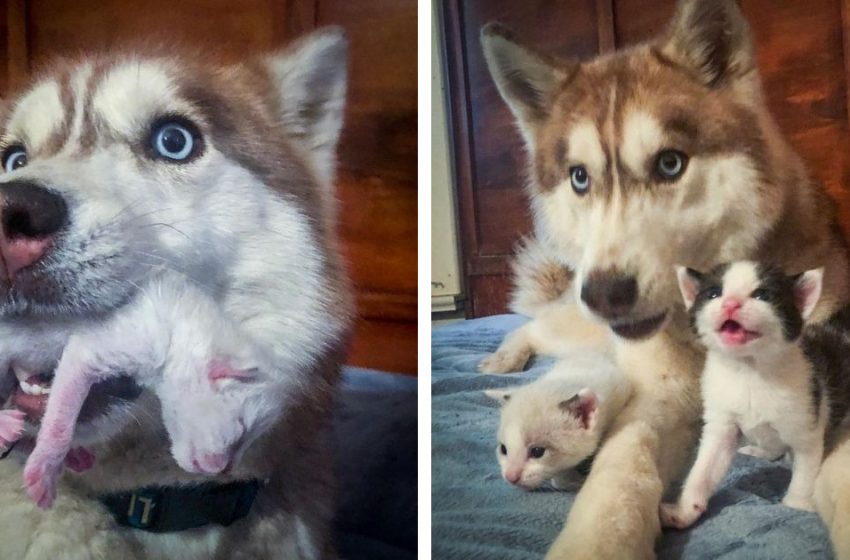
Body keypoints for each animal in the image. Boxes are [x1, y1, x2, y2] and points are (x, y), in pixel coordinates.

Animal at [7, 274, 278, 510]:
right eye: (242, 428)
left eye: (249, 441)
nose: (227, 470)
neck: (178, 327)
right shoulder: (97, 348)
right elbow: (61, 422)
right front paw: (43, 470)